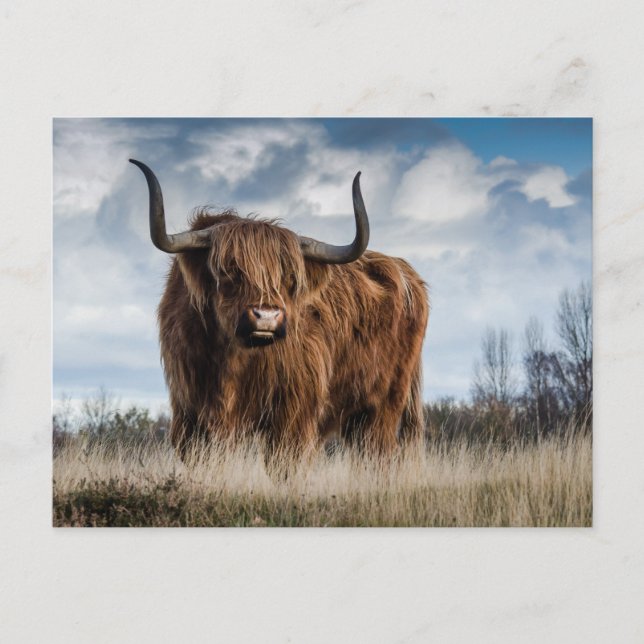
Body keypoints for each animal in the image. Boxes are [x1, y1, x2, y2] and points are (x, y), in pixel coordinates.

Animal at [130, 159, 429, 468]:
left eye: (290, 277)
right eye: (228, 270)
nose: (266, 316)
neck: (231, 360)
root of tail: (406, 272)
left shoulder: (293, 414)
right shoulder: (190, 413)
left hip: (383, 406)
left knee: (378, 454)